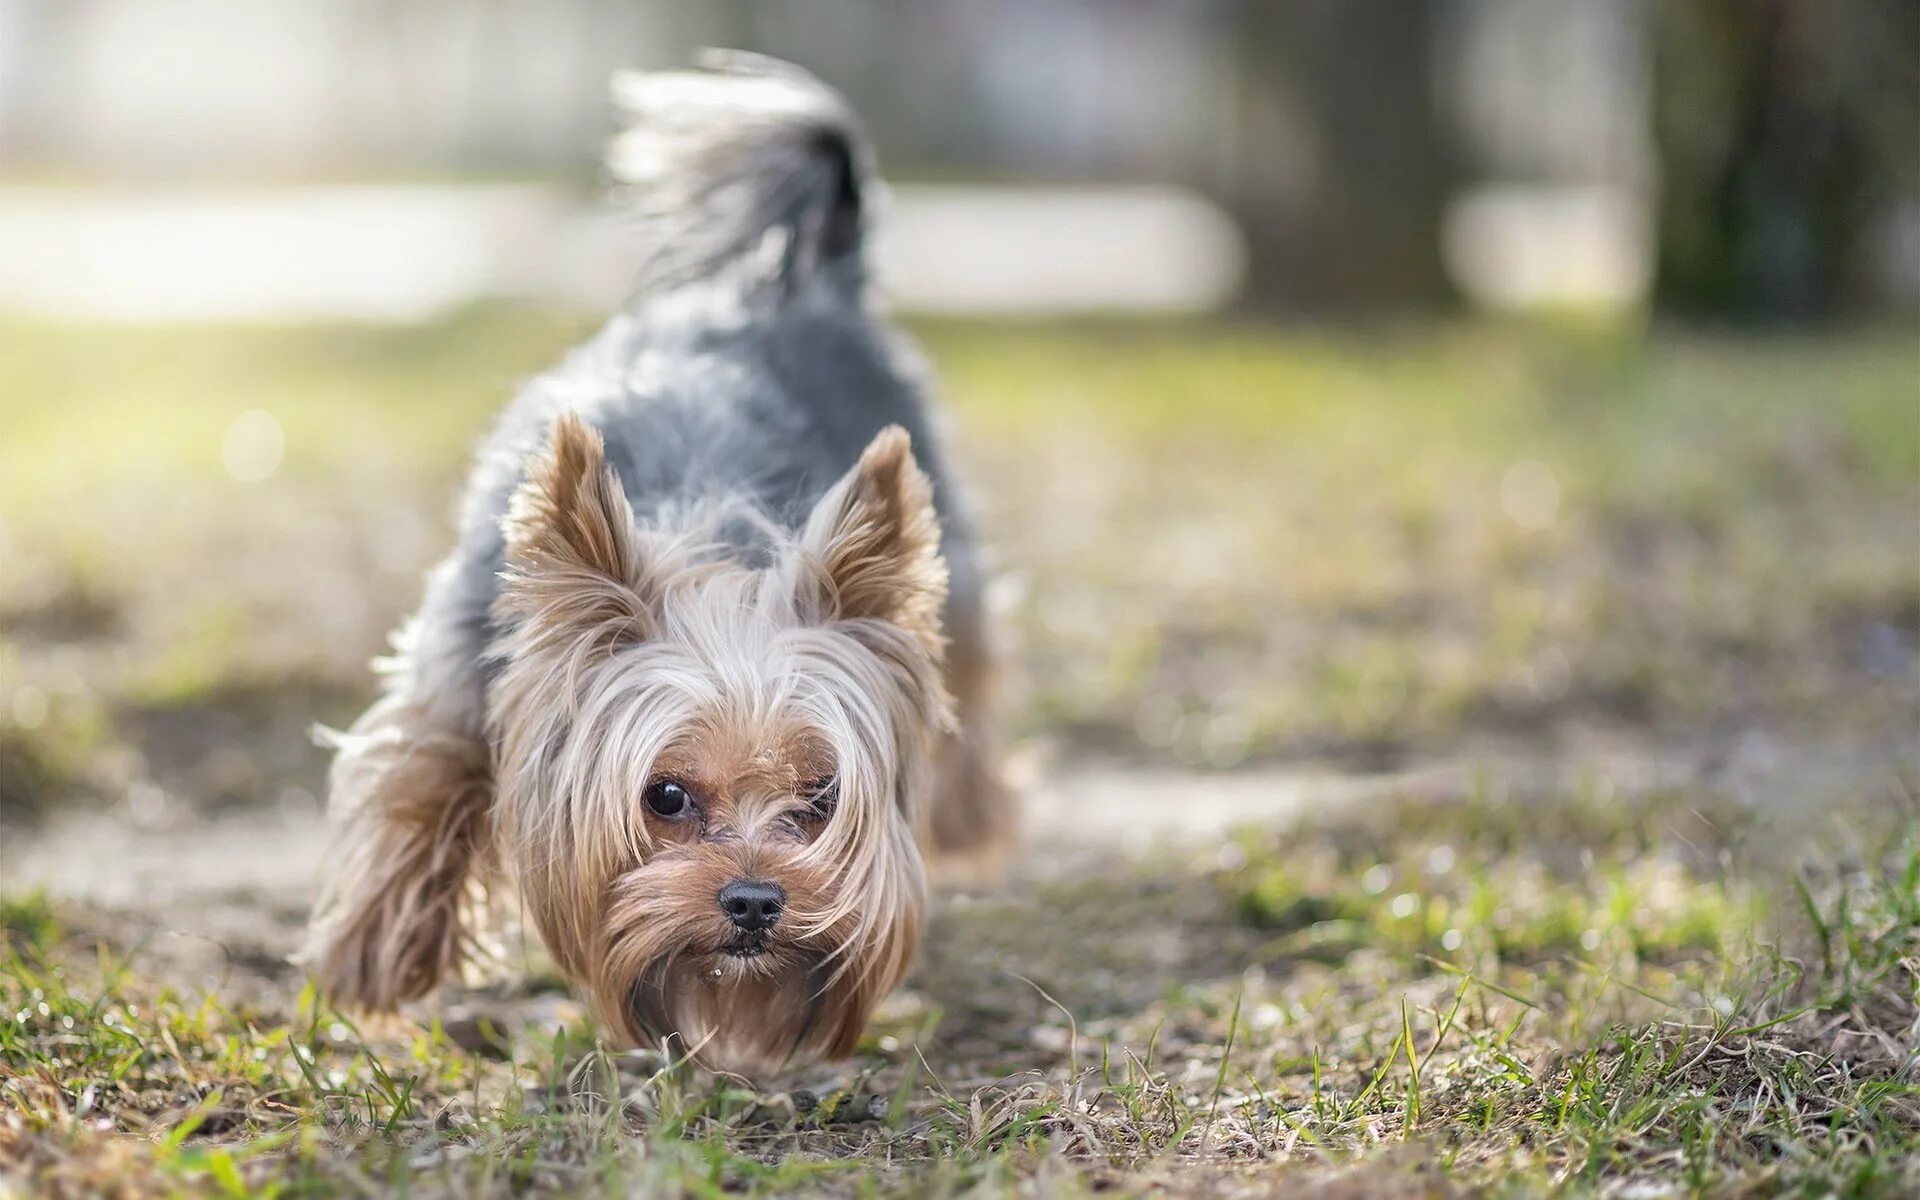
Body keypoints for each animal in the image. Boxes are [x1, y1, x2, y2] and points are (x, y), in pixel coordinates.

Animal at [297, 51, 1006, 1075]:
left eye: (822, 796)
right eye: (664, 796)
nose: (754, 900)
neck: (704, 540)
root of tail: (798, 282)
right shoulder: (464, 655)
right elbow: (420, 776)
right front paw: (376, 956)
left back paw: (971, 816)